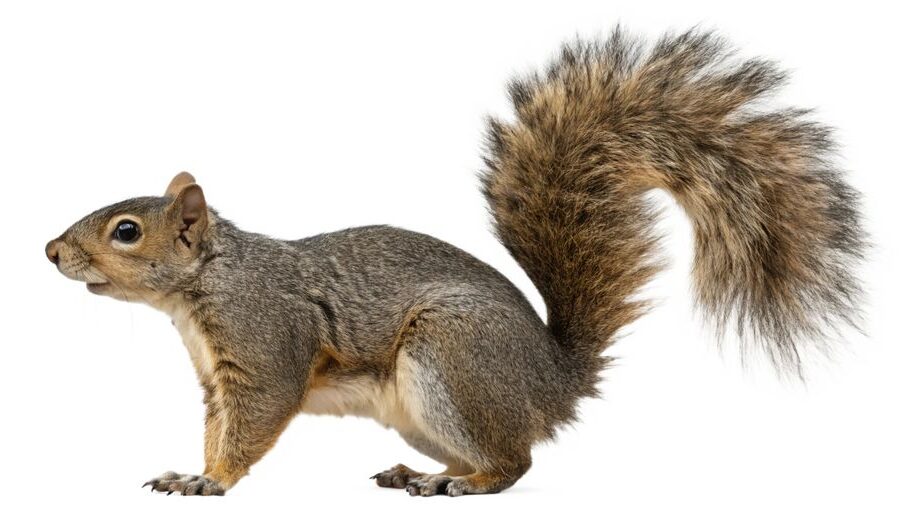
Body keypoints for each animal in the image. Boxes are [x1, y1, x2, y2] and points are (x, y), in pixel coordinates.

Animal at [45, 28, 865, 497]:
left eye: (125, 231)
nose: (50, 251)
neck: (205, 285)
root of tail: (553, 381)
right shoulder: (218, 377)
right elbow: (220, 423)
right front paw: (191, 467)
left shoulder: (265, 340)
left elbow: (256, 420)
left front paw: (209, 481)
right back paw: (427, 472)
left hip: (452, 356)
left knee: (516, 463)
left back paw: (464, 486)